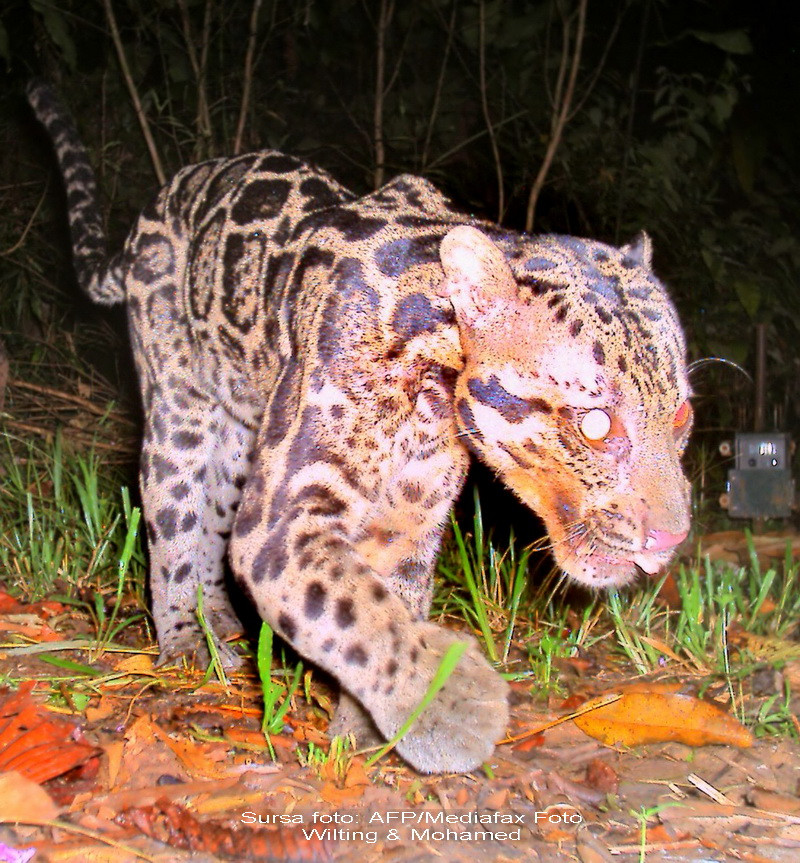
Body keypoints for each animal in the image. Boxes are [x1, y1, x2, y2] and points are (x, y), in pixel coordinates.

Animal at [27, 80, 692, 774]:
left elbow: (383, 605)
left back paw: (218, 622)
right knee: (173, 520)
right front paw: (451, 708)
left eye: (682, 417)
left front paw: (368, 735)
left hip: (241, 439)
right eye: (595, 425)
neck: (435, 384)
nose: (673, 538)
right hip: (178, 409)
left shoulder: (409, 516)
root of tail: (169, 194)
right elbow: (348, 608)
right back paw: (186, 640)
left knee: (210, 521)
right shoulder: (283, 518)